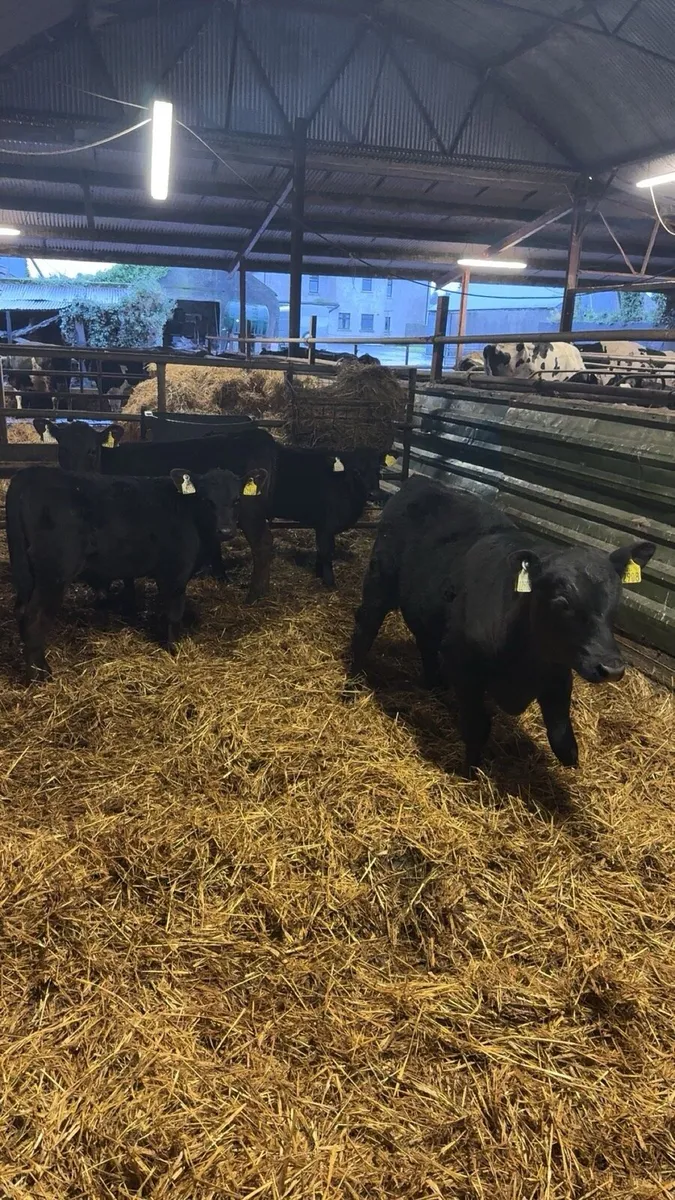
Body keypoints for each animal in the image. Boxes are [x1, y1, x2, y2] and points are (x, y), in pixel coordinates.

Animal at [6, 464, 257, 680]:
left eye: (237, 500)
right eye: (207, 501)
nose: (225, 530)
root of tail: (29, 474)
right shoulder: (176, 570)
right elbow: (174, 611)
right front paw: (174, 649)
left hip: (27, 575)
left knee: (21, 613)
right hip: (54, 572)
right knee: (34, 617)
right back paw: (40, 675)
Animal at [31, 419, 278, 603]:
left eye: (92, 450)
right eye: (62, 449)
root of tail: (256, 434)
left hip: (250, 511)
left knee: (263, 543)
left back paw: (254, 595)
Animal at [272, 446, 389, 588]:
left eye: (378, 469)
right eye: (356, 471)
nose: (375, 494)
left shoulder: (322, 527)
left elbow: (320, 550)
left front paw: (318, 573)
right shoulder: (326, 527)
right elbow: (326, 552)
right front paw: (329, 582)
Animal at [346, 476, 655, 776]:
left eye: (616, 600)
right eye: (562, 602)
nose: (611, 669)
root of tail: (420, 482)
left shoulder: (558, 672)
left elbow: (562, 739)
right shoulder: (464, 667)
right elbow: (477, 727)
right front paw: (469, 773)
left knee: (425, 640)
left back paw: (434, 685)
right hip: (379, 582)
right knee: (365, 628)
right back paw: (351, 686)